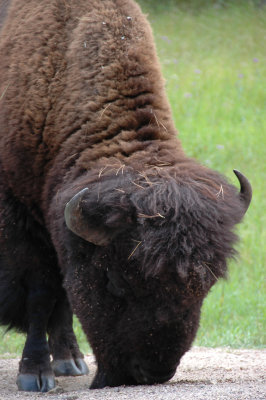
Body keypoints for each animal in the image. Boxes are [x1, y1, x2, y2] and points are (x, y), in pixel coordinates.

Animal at [0, 0, 251, 394]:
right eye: (116, 283)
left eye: (203, 286)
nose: (152, 372)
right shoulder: (21, 217)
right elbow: (40, 294)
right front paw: (35, 375)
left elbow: (61, 296)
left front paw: (66, 361)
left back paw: (71, 361)